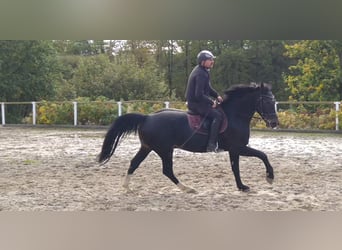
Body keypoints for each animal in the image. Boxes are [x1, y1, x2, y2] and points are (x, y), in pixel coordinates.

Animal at [97, 83, 280, 192]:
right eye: (267, 101)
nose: (274, 123)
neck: (235, 115)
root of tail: (147, 117)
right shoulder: (238, 148)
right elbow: (263, 155)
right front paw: (270, 177)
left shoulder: (234, 150)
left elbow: (236, 168)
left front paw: (241, 187)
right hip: (164, 150)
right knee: (167, 170)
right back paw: (187, 188)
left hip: (147, 148)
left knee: (134, 163)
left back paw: (126, 187)